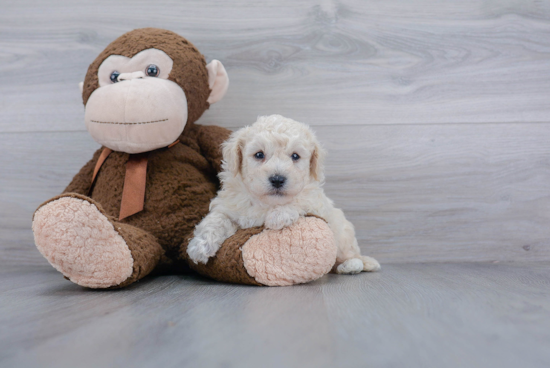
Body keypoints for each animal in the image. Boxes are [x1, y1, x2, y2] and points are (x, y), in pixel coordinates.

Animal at [188, 115, 382, 274]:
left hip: (342, 234)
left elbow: (299, 200)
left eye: (295, 156)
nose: (277, 179)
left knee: (348, 254)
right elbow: (215, 220)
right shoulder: (229, 207)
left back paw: (351, 265)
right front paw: (200, 246)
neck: (265, 202)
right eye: (259, 154)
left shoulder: (315, 201)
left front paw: (278, 216)